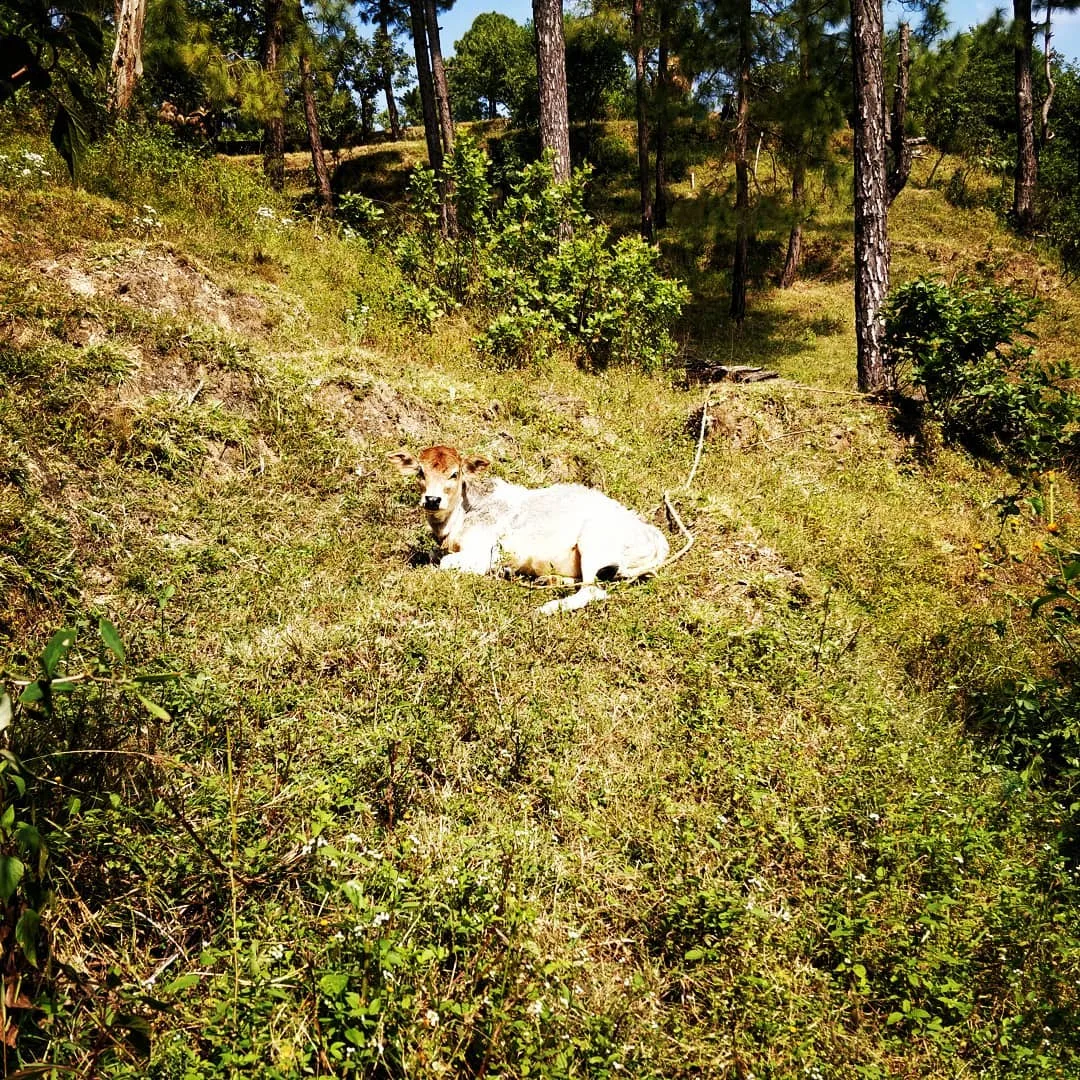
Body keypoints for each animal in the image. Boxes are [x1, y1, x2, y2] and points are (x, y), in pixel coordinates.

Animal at [389, 445, 670, 614]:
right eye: (420, 472)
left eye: (454, 474)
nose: (432, 500)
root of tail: (653, 534)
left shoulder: (483, 553)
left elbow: (445, 563)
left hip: (593, 544)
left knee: (592, 591)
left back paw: (547, 607)